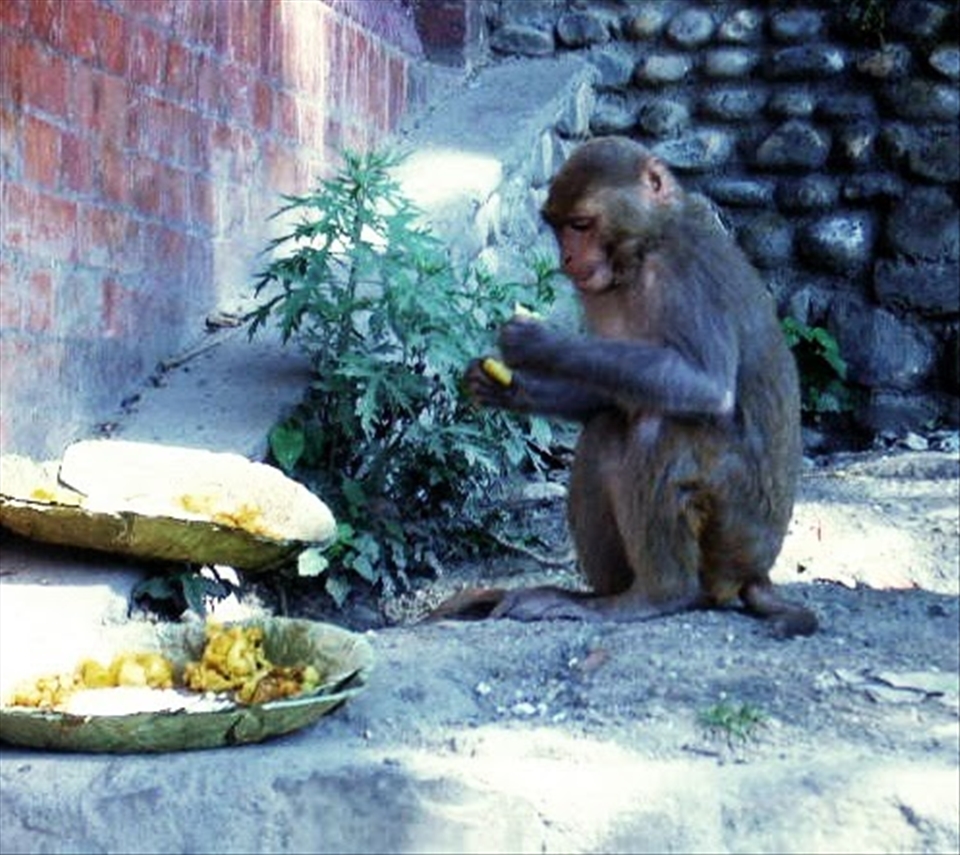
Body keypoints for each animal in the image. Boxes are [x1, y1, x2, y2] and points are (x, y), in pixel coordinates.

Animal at [432, 135, 818, 639]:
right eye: (558, 227)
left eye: (581, 225)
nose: (566, 258)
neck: (640, 252)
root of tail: (756, 571)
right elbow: (609, 394)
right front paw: (505, 389)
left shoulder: (683, 273)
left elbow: (706, 386)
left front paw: (541, 344)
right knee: (606, 427)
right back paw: (597, 596)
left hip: (734, 525)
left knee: (659, 429)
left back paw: (655, 597)